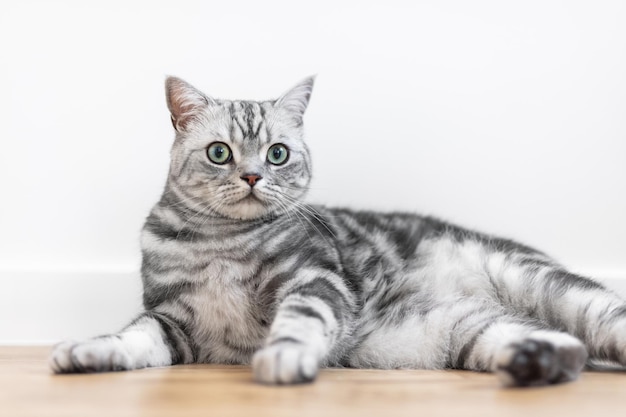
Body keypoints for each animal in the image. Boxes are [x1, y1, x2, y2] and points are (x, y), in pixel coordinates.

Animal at [50, 76, 624, 386]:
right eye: (219, 152)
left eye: (277, 154)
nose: (253, 175)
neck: (222, 243)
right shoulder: (173, 320)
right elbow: (132, 337)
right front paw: (89, 352)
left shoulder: (313, 279)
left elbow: (301, 320)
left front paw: (284, 356)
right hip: (472, 330)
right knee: (561, 345)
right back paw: (539, 361)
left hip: (551, 288)